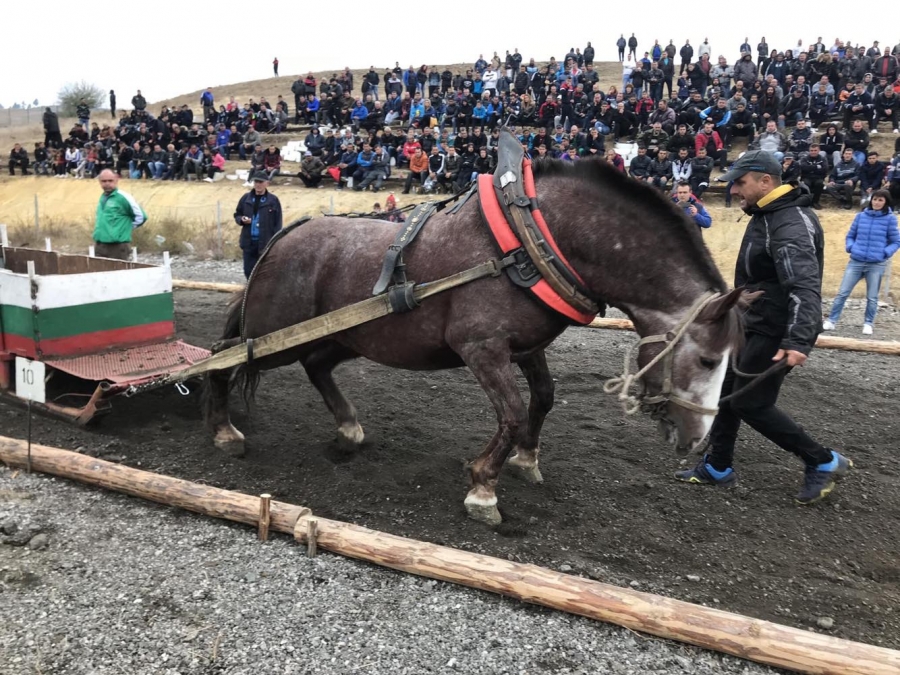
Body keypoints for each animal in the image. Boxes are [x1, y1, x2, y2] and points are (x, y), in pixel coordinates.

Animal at [202, 156, 744, 524]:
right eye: (707, 360)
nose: (697, 439)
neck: (529, 239)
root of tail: (282, 236)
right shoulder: (481, 348)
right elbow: (511, 412)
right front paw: (483, 487)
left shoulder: (526, 347)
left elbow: (543, 398)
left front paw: (527, 458)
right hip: (272, 331)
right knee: (220, 360)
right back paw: (225, 432)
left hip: (346, 334)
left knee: (315, 366)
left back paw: (348, 430)